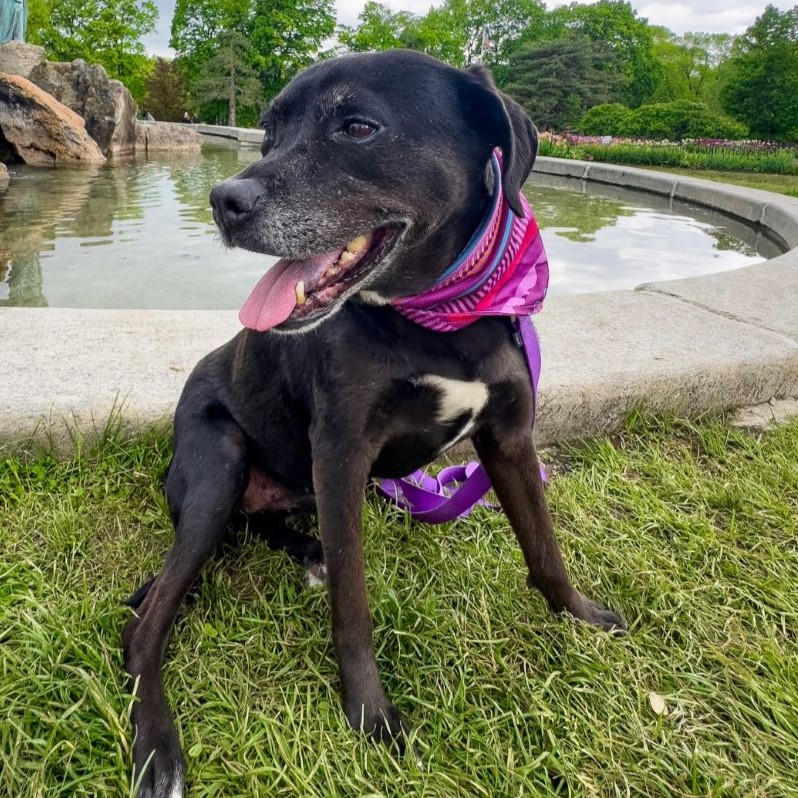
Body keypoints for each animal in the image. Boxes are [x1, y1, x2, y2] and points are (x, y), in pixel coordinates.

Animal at [122, 49, 625, 798]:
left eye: (357, 127)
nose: (223, 201)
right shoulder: (341, 452)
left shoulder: (508, 438)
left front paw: (581, 616)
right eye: (267, 134)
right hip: (220, 464)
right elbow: (353, 609)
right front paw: (370, 714)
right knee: (149, 623)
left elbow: (545, 549)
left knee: (270, 524)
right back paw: (157, 748)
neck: (439, 317)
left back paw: (307, 551)